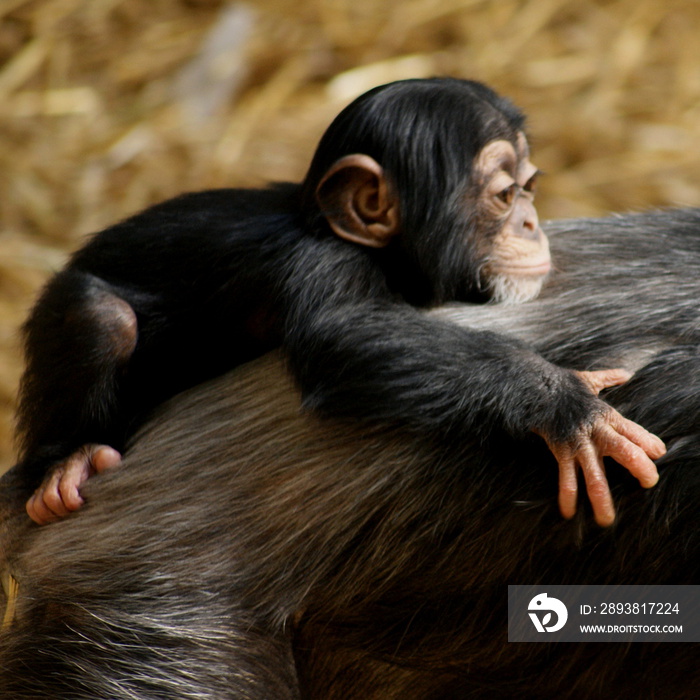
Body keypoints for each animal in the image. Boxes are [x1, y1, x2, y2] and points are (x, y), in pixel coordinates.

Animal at [15, 78, 660, 524]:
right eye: (504, 195)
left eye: (530, 187)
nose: (530, 222)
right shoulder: (321, 265)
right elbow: (343, 331)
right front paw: (564, 403)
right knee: (103, 319)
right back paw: (65, 462)